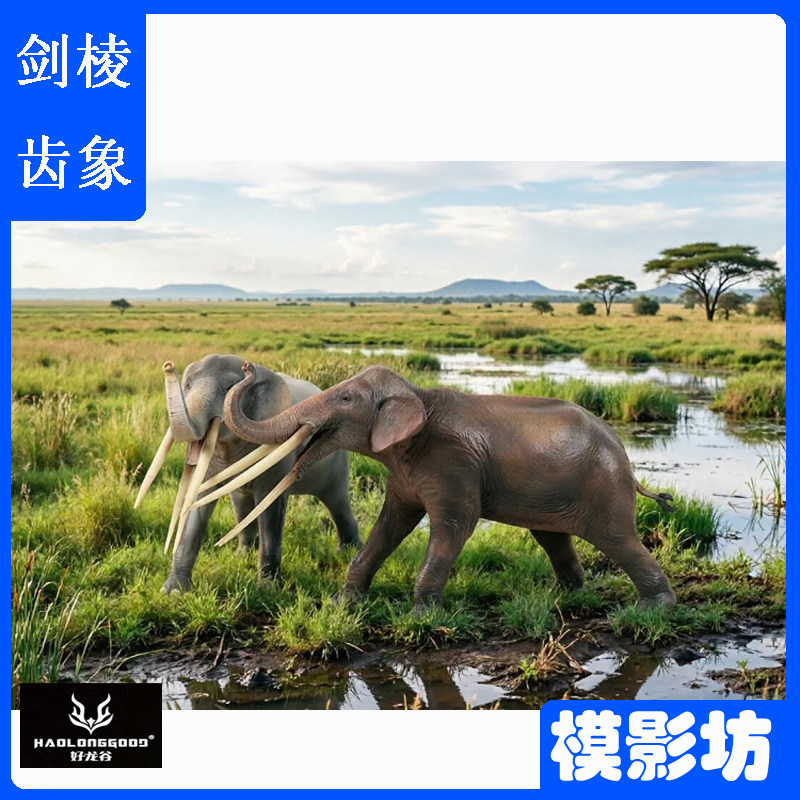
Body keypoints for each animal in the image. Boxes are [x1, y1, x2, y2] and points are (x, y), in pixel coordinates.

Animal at [134, 354, 361, 594]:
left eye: (228, 387)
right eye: (186, 386)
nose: (168, 366)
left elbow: (270, 508)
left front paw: (269, 589)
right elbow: (197, 501)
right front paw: (174, 592)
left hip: (338, 459)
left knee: (336, 500)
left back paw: (348, 550)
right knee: (241, 502)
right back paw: (243, 554)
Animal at [214, 362, 676, 612]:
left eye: (345, 399)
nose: (247, 369)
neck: (416, 394)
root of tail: (624, 455)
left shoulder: (452, 465)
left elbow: (454, 526)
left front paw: (420, 615)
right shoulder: (406, 472)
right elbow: (390, 524)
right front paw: (344, 604)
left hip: (604, 488)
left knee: (617, 540)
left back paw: (654, 608)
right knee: (551, 537)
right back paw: (569, 596)